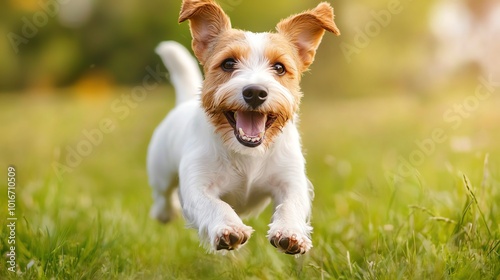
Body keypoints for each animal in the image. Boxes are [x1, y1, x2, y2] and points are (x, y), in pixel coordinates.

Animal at [146, 0, 338, 255]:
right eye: (228, 63)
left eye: (279, 68)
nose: (255, 92)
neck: (247, 152)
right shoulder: (197, 185)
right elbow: (214, 204)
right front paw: (229, 228)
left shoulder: (291, 181)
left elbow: (291, 205)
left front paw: (290, 233)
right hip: (160, 169)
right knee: (162, 196)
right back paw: (165, 212)